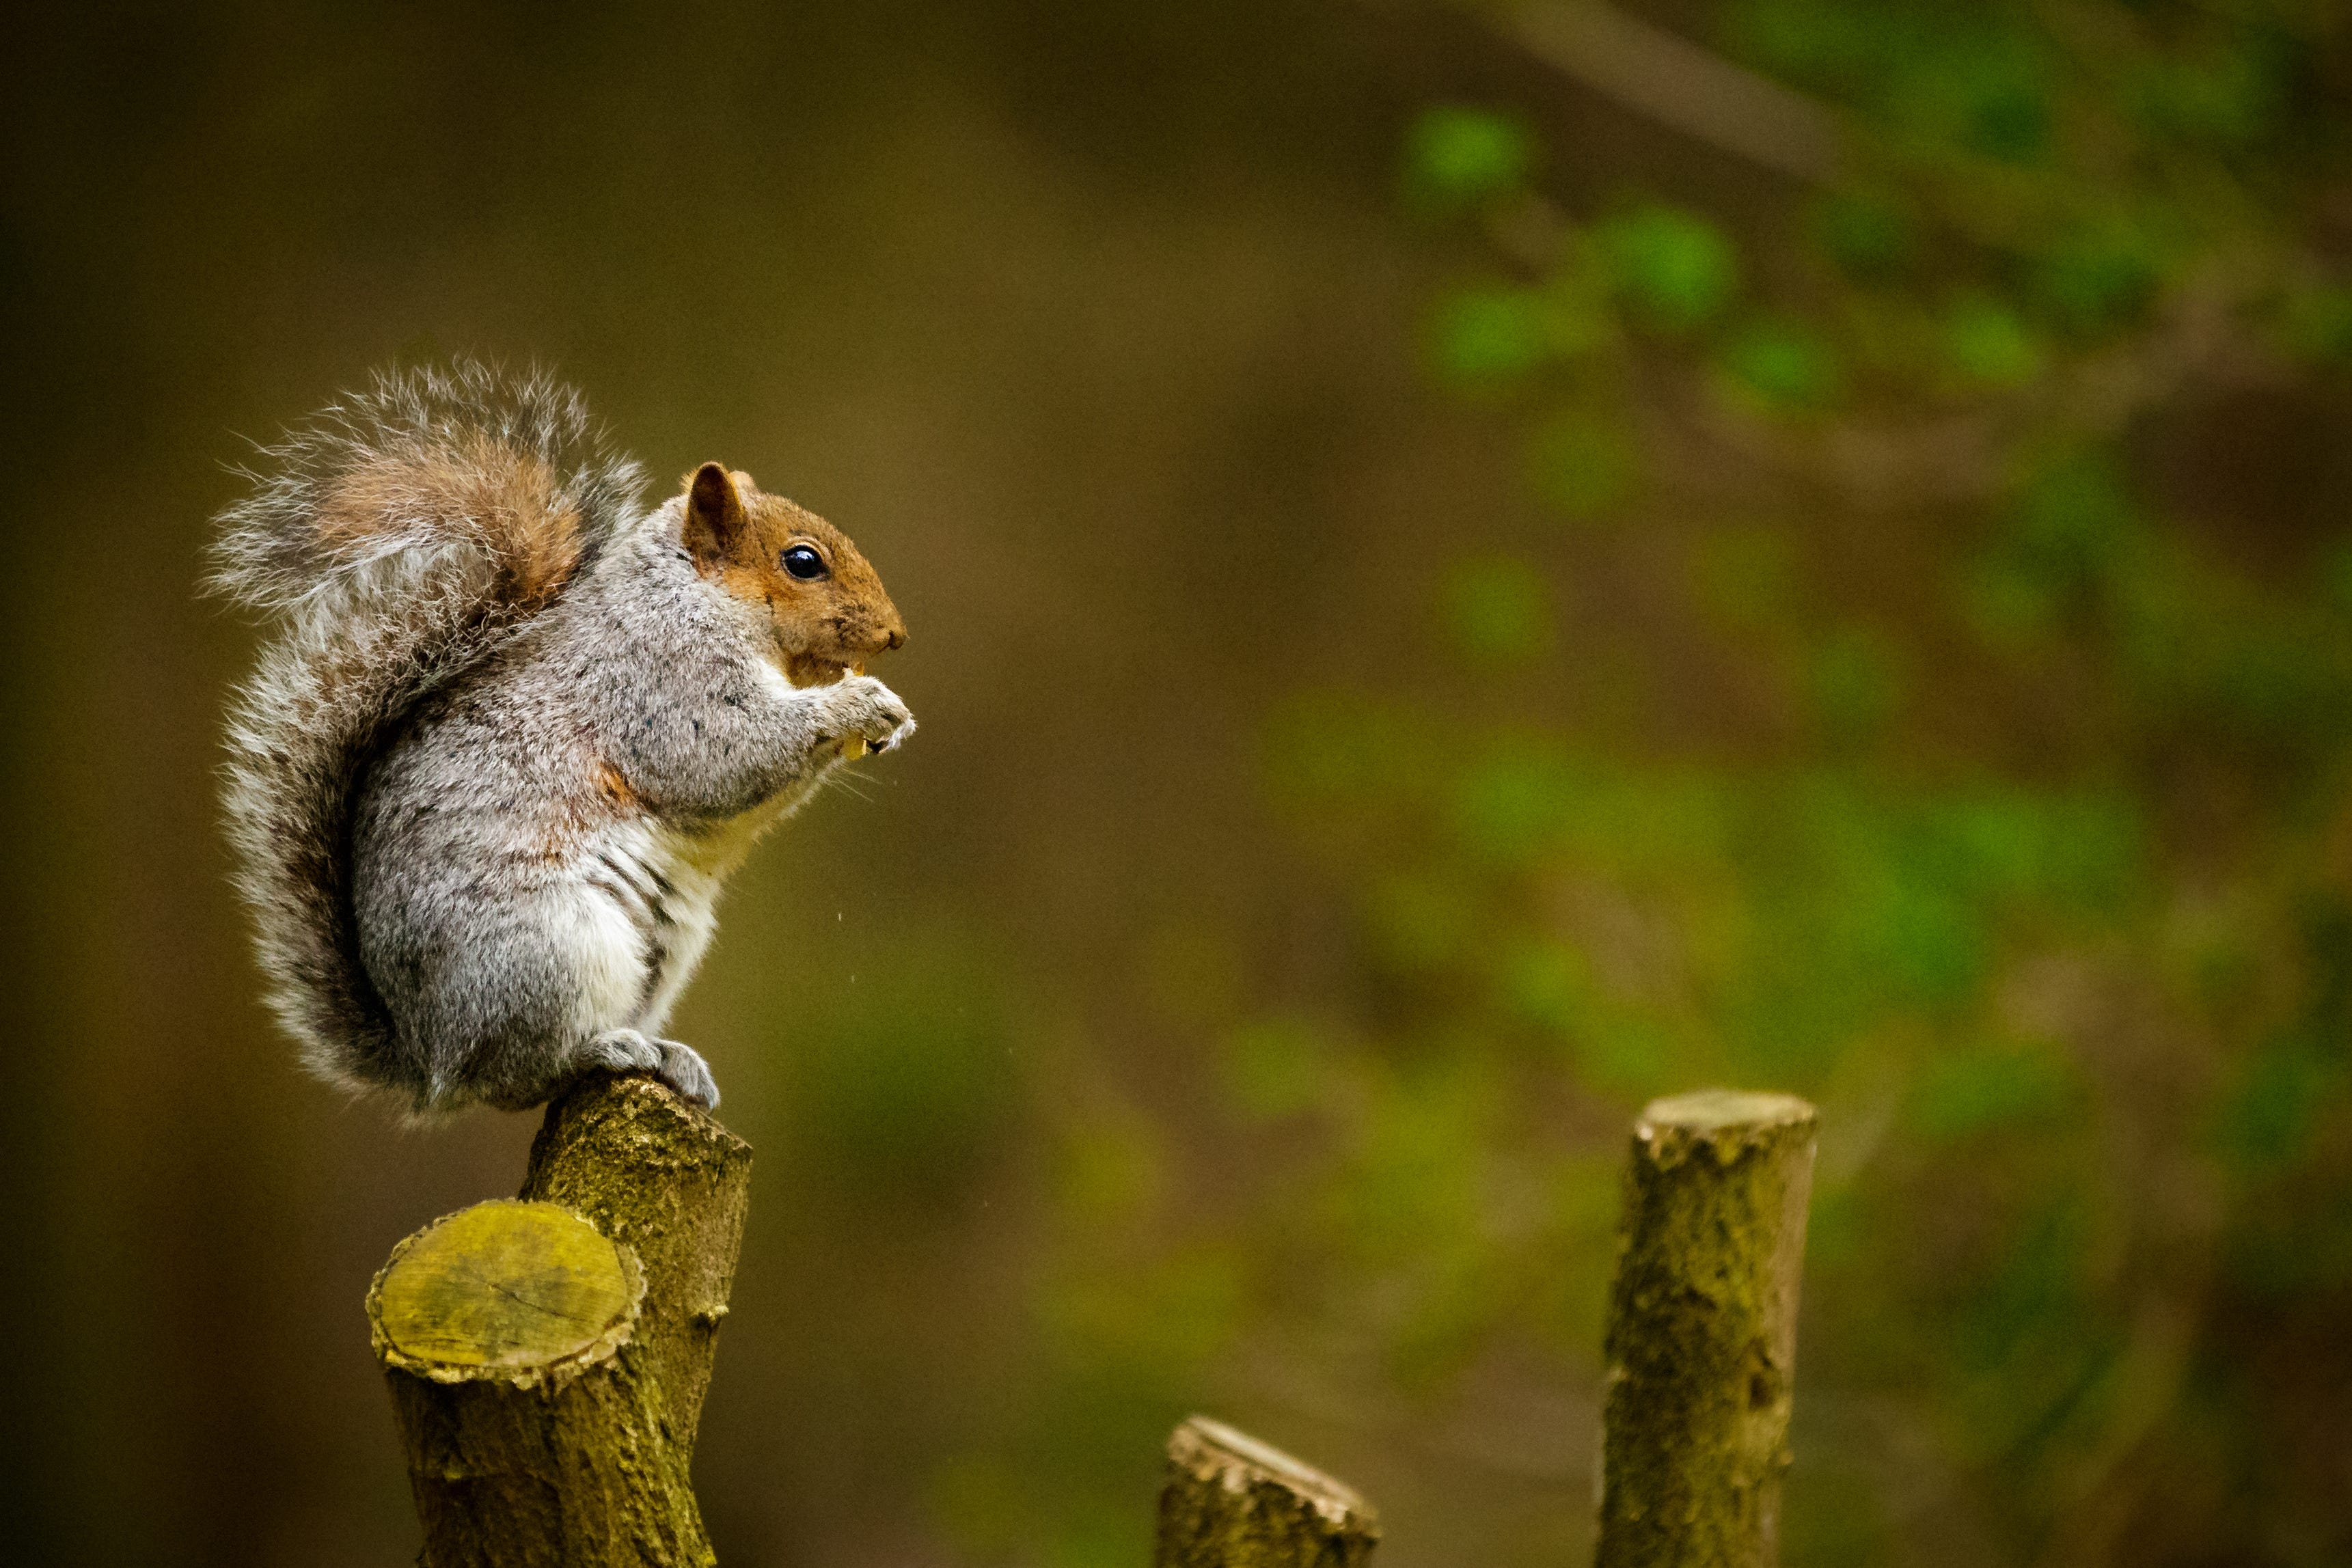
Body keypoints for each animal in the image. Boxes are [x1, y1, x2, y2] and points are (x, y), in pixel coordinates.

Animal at [214, 364, 907, 1114]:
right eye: (803, 561)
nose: (896, 634)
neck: (695, 596)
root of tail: (428, 1056)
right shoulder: (658, 686)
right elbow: (726, 757)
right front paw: (859, 703)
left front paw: (887, 719)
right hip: (553, 949)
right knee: (515, 1077)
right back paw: (603, 1050)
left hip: (662, 952)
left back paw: (670, 1057)